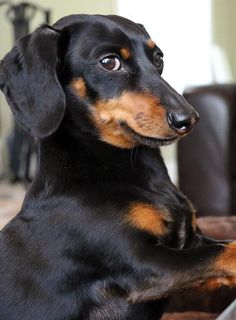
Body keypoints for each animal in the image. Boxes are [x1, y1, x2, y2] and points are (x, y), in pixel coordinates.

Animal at [0, 14, 236, 320]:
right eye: (110, 62)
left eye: (158, 58)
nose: (189, 119)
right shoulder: (144, 263)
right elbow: (227, 251)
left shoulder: (191, 241)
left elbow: (223, 243)